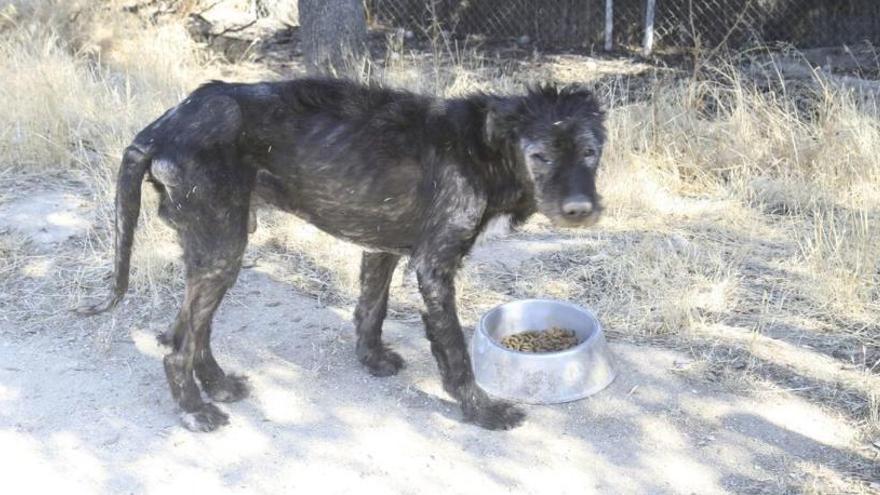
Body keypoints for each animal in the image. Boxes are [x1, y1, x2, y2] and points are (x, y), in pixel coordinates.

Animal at [79, 76, 604, 430]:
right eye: (539, 156)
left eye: (591, 152)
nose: (580, 210)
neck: (484, 147)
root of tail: (162, 127)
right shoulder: (435, 267)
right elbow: (454, 352)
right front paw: (481, 410)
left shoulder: (382, 248)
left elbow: (371, 309)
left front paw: (370, 360)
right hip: (222, 249)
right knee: (179, 346)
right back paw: (195, 410)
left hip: (214, 247)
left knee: (188, 329)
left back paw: (219, 385)